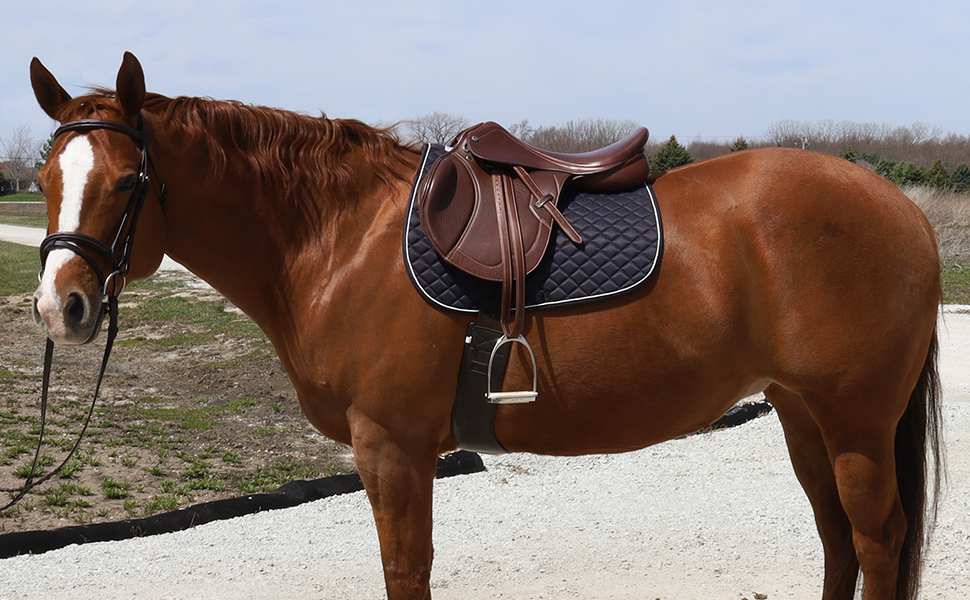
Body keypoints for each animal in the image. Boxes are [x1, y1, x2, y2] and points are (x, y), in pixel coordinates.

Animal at [28, 53, 942, 600]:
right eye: (42, 179)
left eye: (128, 181)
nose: (57, 306)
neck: (339, 234)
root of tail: (902, 207)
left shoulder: (391, 447)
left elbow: (406, 570)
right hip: (800, 412)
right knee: (838, 540)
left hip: (855, 423)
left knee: (877, 539)